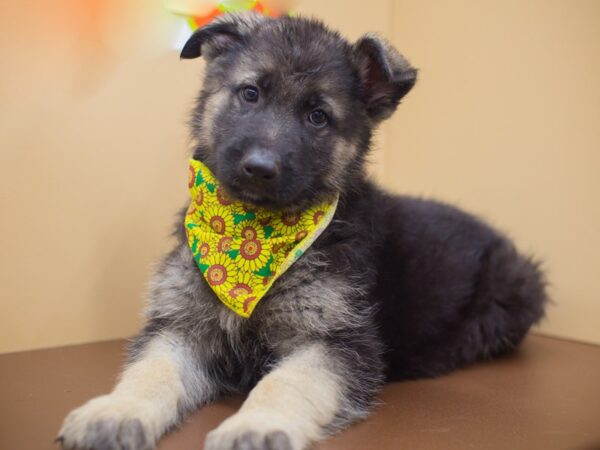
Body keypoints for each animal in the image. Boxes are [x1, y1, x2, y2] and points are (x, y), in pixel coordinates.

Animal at [58, 12, 548, 450]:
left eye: (318, 117)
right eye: (250, 94)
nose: (259, 168)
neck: (251, 234)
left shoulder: (332, 341)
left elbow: (285, 383)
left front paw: (255, 427)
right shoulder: (182, 326)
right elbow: (151, 372)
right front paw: (114, 411)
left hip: (521, 284)